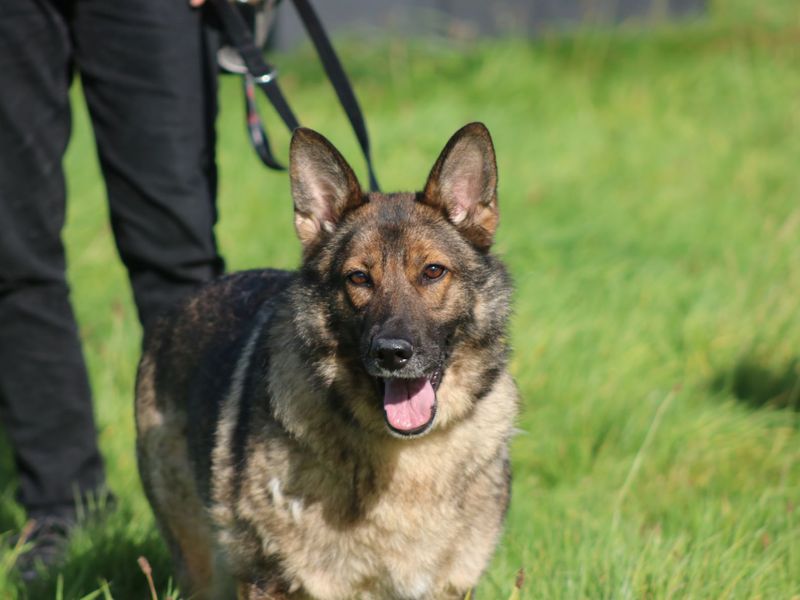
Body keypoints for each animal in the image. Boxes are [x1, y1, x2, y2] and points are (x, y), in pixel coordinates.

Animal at [134, 123, 516, 600]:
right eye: (358, 278)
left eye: (432, 272)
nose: (392, 353)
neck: (407, 458)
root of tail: (175, 310)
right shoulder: (271, 581)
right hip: (202, 565)